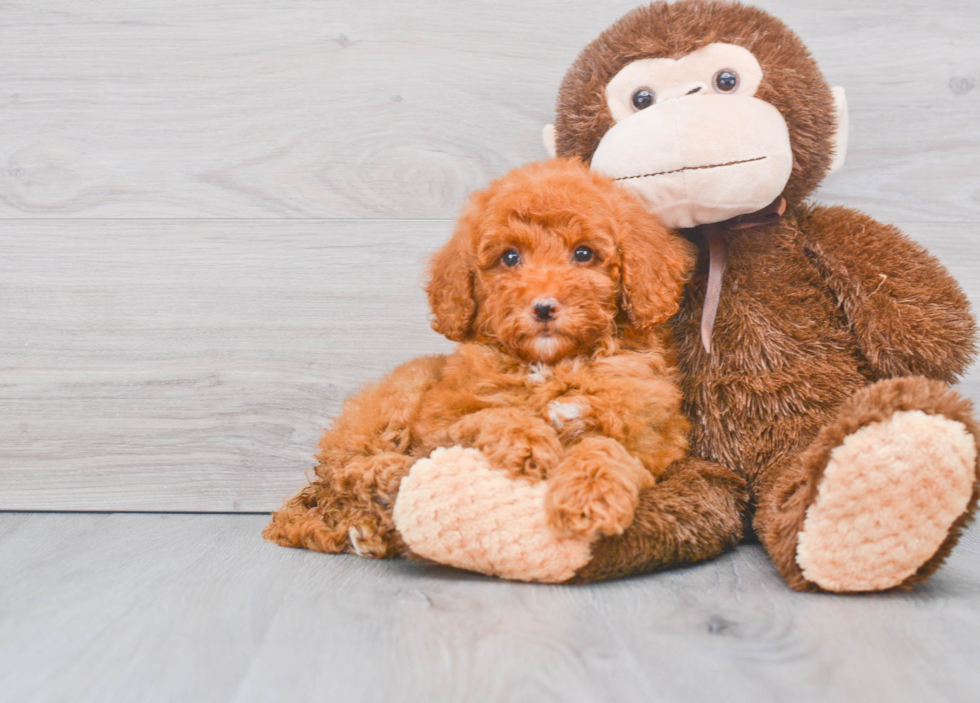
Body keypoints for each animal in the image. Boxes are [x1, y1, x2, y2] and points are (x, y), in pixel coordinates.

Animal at [264, 158, 696, 560]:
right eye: (510, 258)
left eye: (584, 253)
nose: (543, 307)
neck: (551, 364)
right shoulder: (438, 422)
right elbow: (490, 414)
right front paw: (528, 442)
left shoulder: (650, 431)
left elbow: (606, 448)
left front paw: (591, 497)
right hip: (397, 398)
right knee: (344, 473)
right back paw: (383, 483)